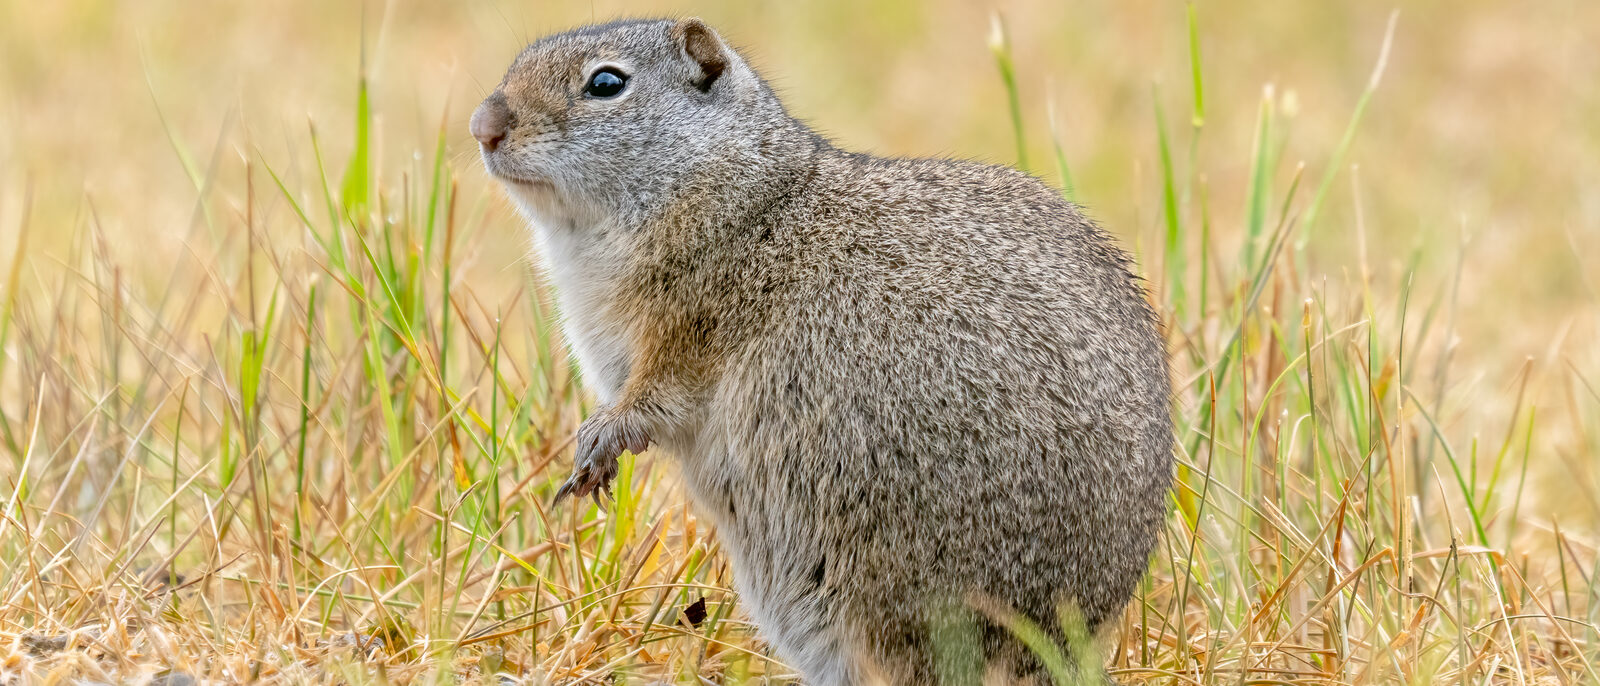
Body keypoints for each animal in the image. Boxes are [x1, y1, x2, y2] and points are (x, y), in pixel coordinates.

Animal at [472, 17, 1172, 686]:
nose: (484, 125)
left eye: (606, 83)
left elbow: (657, 399)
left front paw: (600, 441)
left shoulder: (691, 328)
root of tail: (1059, 650)